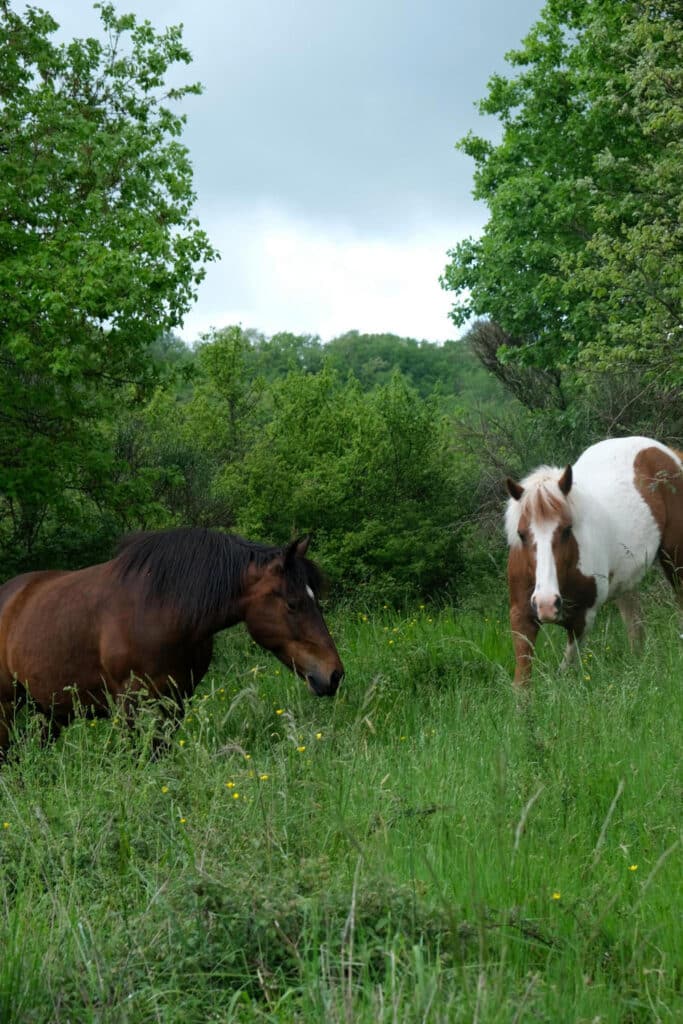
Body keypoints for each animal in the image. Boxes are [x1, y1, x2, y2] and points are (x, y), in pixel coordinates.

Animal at [0, 528, 344, 757]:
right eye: (292, 604)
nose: (334, 674)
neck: (162, 609)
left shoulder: (177, 699)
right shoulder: (129, 701)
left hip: (48, 710)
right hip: (7, 706)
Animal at [505, 436, 683, 687]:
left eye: (567, 530)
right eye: (521, 534)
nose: (547, 604)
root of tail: (669, 453)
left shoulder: (583, 618)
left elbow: (566, 669)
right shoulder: (521, 616)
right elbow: (522, 682)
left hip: (675, 560)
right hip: (626, 582)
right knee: (635, 628)